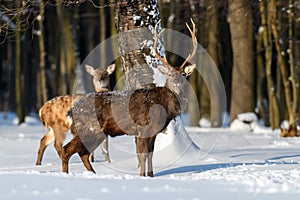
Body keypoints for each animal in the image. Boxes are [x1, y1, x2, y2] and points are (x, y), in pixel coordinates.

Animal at [61, 19, 197, 177]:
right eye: (169, 74)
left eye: (184, 74)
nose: (176, 82)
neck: (163, 106)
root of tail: (71, 110)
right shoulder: (143, 127)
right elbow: (143, 154)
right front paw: (142, 175)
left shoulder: (154, 131)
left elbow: (150, 154)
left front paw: (151, 175)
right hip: (89, 128)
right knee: (67, 150)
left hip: (95, 131)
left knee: (82, 153)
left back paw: (93, 174)